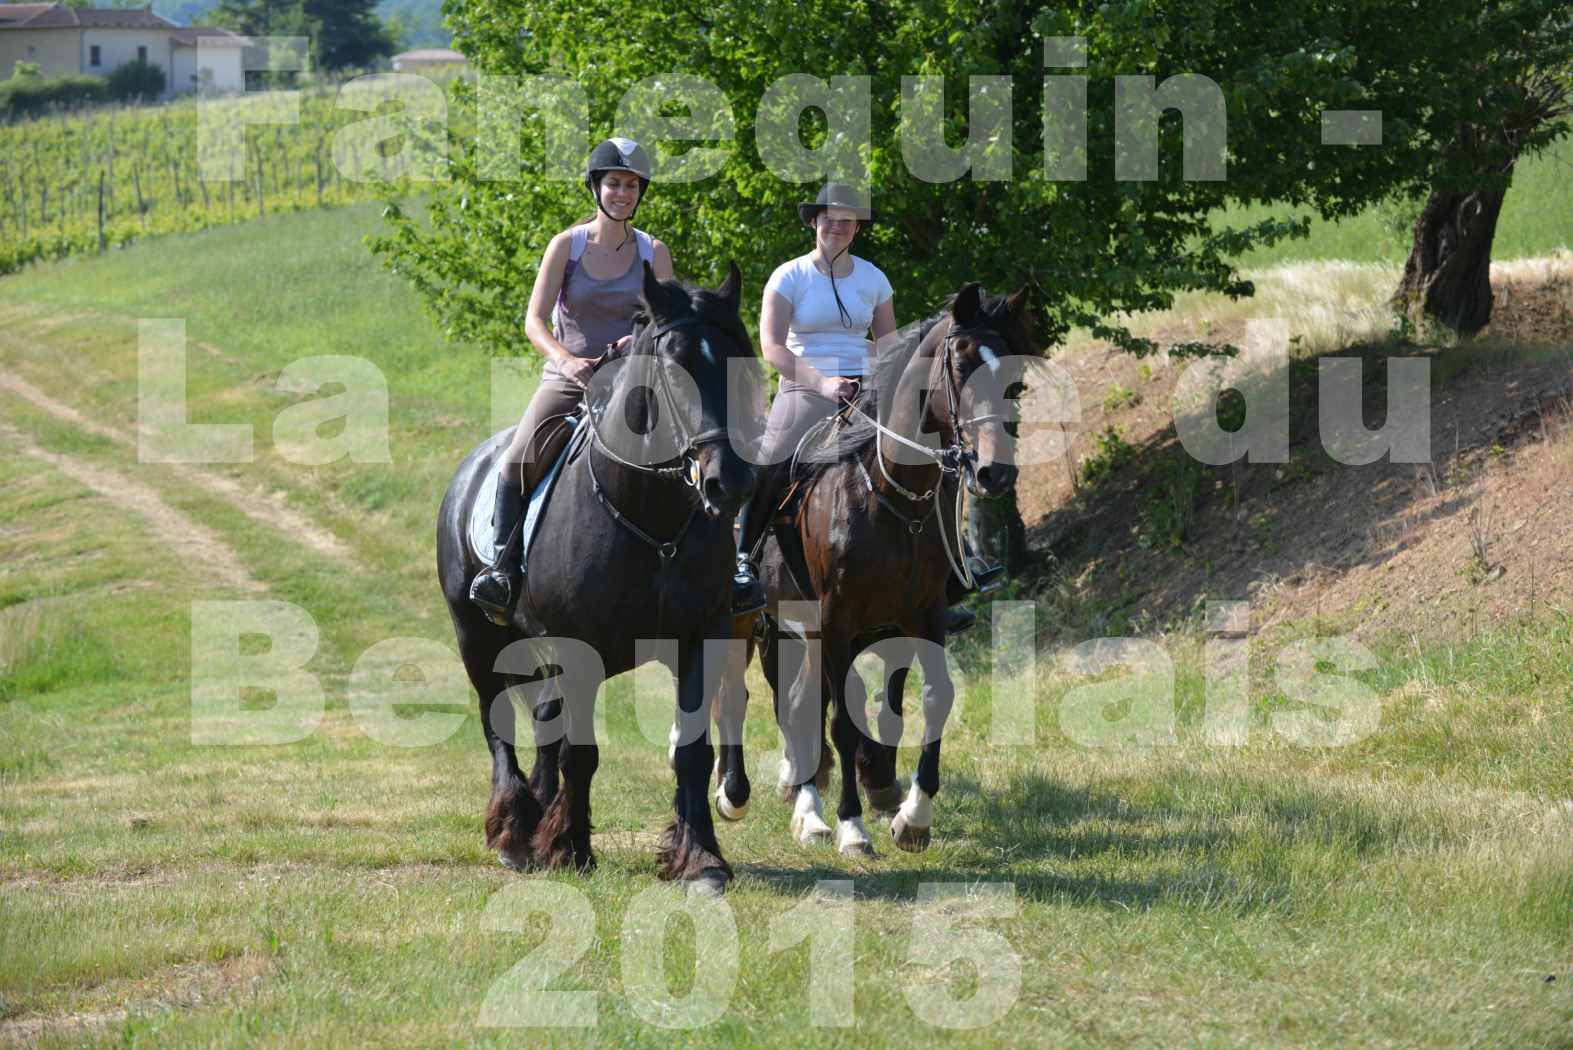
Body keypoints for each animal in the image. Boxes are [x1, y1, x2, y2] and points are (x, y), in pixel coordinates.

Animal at [440, 262, 758, 892]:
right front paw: (569, 849)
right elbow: (580, 752)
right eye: (675, 364)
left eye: (740, 356)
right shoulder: (578, 645)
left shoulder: (702, 637)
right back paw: (514, 833)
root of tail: (471, 466)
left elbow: (693, 751)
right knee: (499, 721)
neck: (650, 515)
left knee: (544, 717)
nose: (727, 481)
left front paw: (700, 859)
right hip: (476, 636)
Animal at [720, 282, 1044, 855]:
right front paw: (852, 826)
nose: (995, 473)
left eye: (1016, 379)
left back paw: (809, 806)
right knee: (758, 699)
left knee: (802, 702)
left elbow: (930, 699)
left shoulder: (920, 615)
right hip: (761, 625)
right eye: (961, 366)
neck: (891, 493)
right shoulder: (836, 618)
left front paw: (911, 816)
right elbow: (843, 722)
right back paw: (750, 797)